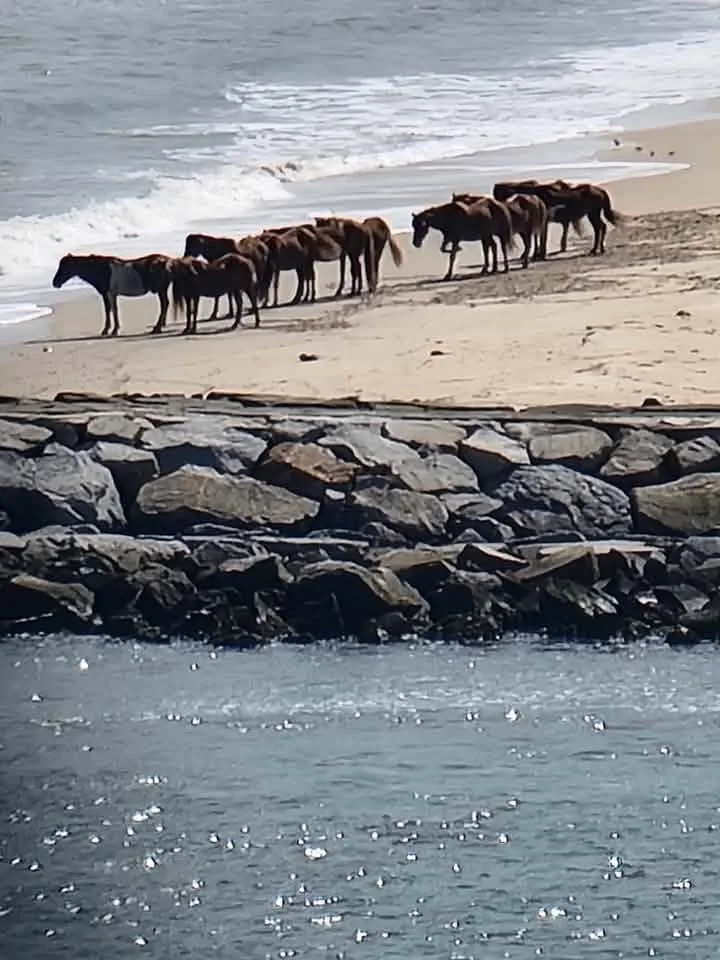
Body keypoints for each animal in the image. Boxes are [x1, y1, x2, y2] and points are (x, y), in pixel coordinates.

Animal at [492, 179, 623, 256]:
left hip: (593, 214)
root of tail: (601, 191)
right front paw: (538, 254)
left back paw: (596, 249)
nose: (499, 206)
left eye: (497, 193)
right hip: (593, 214)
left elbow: (542, 238)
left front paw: (540, 254)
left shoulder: (544, 221)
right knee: (601, 227)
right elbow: (539, 237)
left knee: (599, 228)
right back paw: (599, 248)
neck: (537, 194)